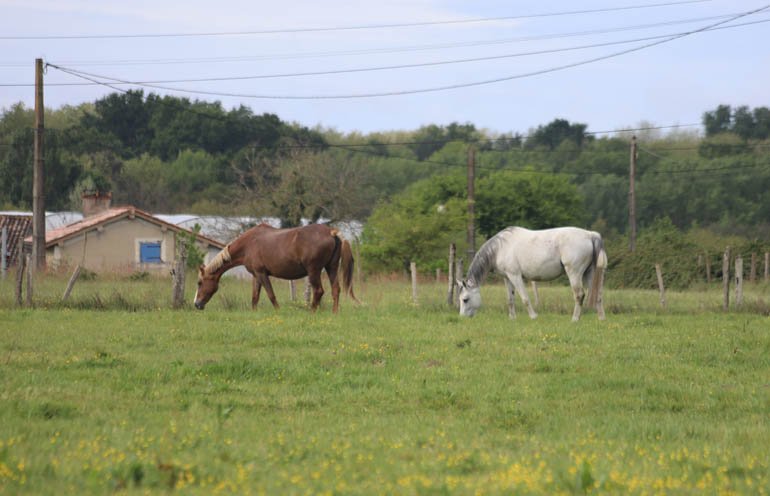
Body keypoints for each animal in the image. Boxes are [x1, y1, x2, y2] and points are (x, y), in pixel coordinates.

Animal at [194, 223, 358, 312]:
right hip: (332, 268)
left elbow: (271, 295)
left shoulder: (262, 274)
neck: (248, 244)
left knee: (318, 291)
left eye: (200, 283)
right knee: (336, 290)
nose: (197, 304)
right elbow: (255, 297)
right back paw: (334, 312)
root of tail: (331, 232)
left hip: (314, 271)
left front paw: (278, 311)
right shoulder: (256, 275)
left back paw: (312, 312)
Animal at [457, 226, 607, 322]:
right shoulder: (507, 278)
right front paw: (512, 318)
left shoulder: (515, 276)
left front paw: (533, 317)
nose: (462, 317)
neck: (500, 248)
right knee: (598, 294)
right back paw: (601, 318)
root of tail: (591, 235)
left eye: (465, 299)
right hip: (590, 273)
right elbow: (510, 299)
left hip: (574, 274)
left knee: (579, 295)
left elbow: (525, 298)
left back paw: (575, 319)